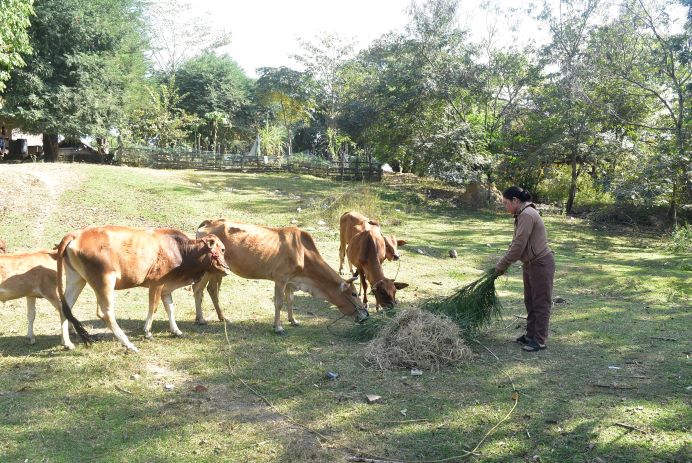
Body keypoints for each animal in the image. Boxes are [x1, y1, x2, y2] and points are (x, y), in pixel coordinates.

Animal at [55, 226, 231, 352]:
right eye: (222, 249)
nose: (227, 269)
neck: (181, 251)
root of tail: (76, 234)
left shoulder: (166, 287)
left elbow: (170, 307)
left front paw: (176, 330)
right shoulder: (156, 283)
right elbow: (154, 307)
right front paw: (147, 332)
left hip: (77, 279)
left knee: (65, 307)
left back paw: (67, 342)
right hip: (104, 281)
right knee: (105, 313)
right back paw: (128, 344)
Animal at [193, 219, 369, 334]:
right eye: (354, 294)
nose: (366, 315)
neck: (303, 252)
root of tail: (209, 222)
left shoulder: (291, 281)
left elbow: (290, 300)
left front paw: (293, 320)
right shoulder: (281, 279)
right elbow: (279, 303)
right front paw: (278, 327)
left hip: (217, 271)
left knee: (212, 290)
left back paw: (222, 318)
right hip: (207, 270)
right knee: (197, 289)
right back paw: (201, 319)